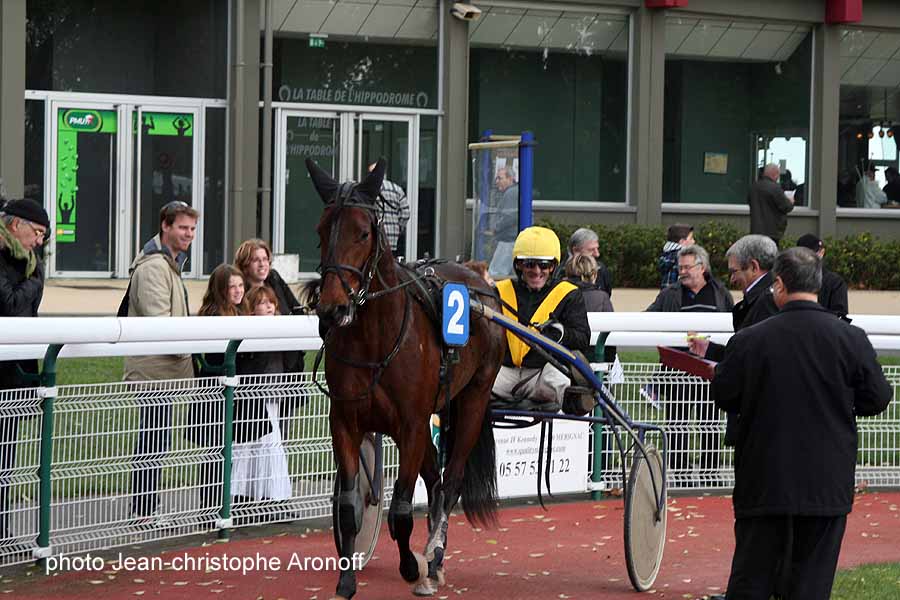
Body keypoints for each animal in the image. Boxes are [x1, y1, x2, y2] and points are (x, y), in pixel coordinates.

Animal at [308, 157, 506, 596]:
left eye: (363, 232)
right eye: (321, 229)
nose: (331, 308)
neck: (374, 341)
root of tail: (481, 281)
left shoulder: (412, 425)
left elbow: (400, 510)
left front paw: (412, 567)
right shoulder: (345, 421)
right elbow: (349, 507)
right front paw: (347, 580)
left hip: (473, 397)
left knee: (450, 482)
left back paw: (433, 556)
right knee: (434, 480)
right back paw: (435, 558)